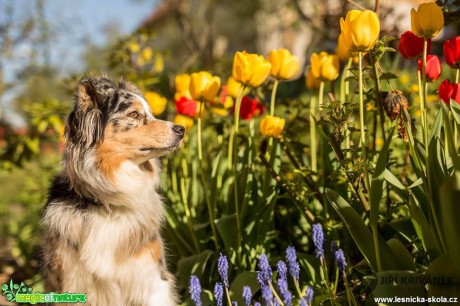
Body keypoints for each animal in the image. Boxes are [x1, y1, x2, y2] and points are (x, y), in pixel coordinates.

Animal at [41, 76, 181, 306]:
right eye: (134, 114)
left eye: (150, 113)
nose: (181, 129)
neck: (108, 204)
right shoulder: (72, 282)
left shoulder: (150, 279)